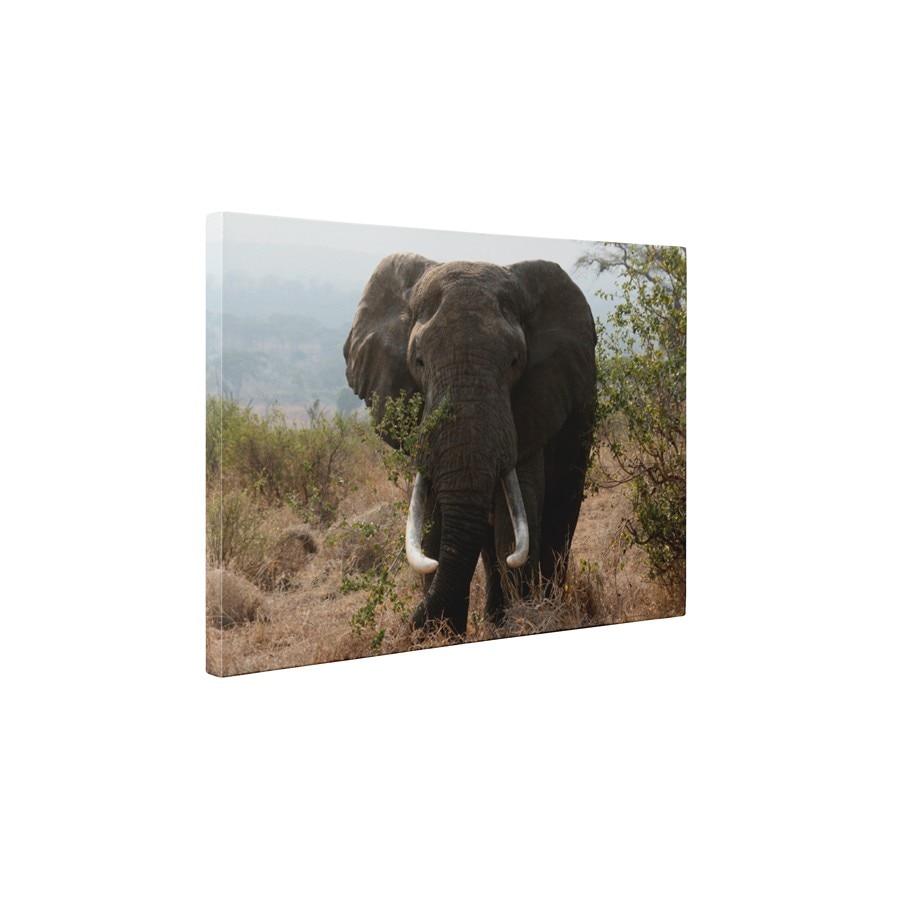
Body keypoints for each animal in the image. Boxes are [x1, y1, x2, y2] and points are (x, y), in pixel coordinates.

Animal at [343, 253, 597, 634]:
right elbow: (432, 528)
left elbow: (513, 530)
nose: (402, 632)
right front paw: (443, 635)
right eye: (419, 362)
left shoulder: (533, 406)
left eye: (515, 362)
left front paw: (525, 623)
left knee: (558, 522)